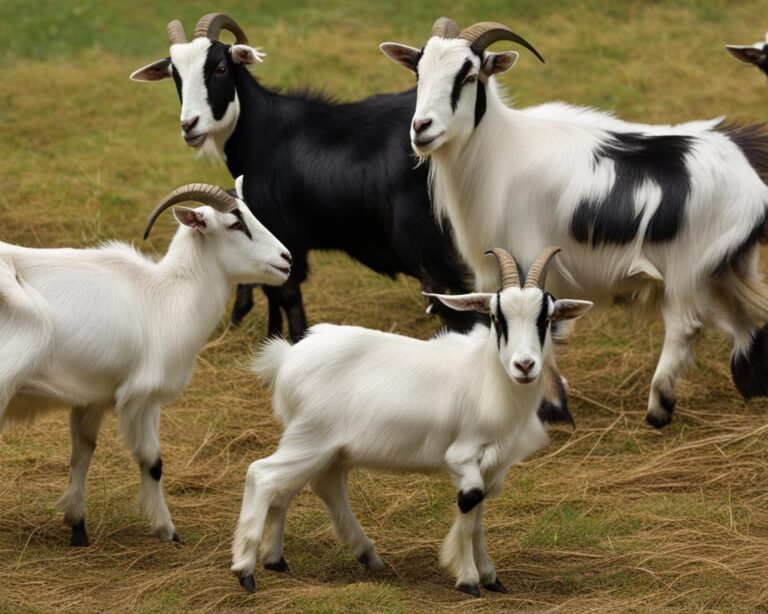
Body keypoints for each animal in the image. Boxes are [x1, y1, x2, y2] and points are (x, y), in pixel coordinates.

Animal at [0, 181, 291, 546]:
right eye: (235, 224)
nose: (286, 260)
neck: (164, 298)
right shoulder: (143, 398)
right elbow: (153, 462)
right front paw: (168, 531)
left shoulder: (91, 397)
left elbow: (82, 452)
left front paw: (78, 527)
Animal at [130, 13, 475, 340]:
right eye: (174, 74)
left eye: (221, 68)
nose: (190, 125)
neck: (265, 134)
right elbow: (272, 293)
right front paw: (270, 337)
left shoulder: (286, 234)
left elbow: (288, 297)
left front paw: (294, 341)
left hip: (423, 238)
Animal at [230, 247, 592, 595]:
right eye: (495, 316)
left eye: (546, 318)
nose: (525, 365)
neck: (486, 377)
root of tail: (286, 359)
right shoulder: (462, 456)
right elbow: (470, 501)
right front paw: (468, 579)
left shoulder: (493, 464)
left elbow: (478, 514)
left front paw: (490, 577)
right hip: (310, 438)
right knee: (263, 475)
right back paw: (246, 570)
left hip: (323, 447)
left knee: (312, 485)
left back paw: (304, 558)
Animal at [381, 17, 768, 429]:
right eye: (418, 72)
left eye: (469, 75)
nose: (422, 128)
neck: (499, 151)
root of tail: (751, 183)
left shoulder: (531, 259)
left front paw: (553, 406)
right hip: (728, 266)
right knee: (745, 321)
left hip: (688, 269)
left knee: (685, 327)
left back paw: (658, 408)